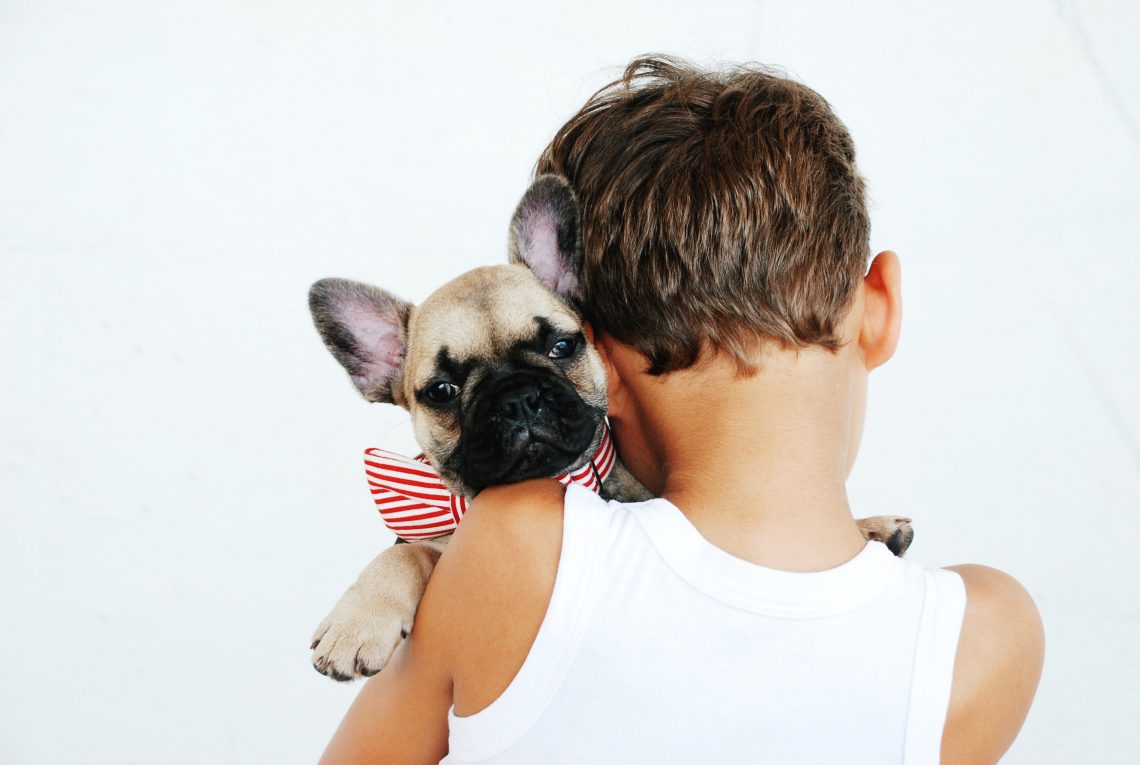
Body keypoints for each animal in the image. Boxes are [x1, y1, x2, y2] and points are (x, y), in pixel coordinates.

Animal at [307, 175, 912, 684]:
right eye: (442, 391)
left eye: (562, 345)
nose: (518, 398)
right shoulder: (443, 543)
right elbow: (404, 552)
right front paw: (358, 620)